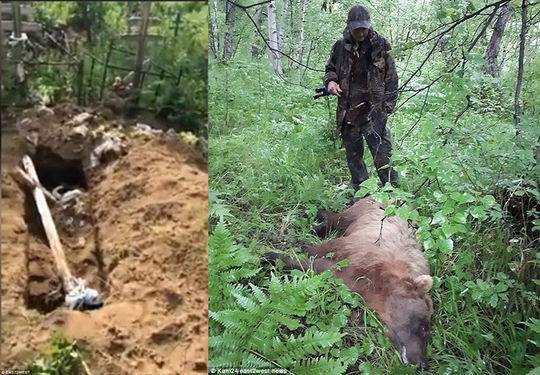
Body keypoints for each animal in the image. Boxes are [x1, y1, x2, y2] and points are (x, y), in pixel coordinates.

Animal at [266, 197, 434, 370]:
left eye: (427, 330)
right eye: (423, 327)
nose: (423, 364)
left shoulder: (357, 283)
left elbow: (326, 270)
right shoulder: (361, 252)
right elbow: (322, 254)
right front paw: (277, 255)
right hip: (361, 212)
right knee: (340, 219)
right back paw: (319, 223)